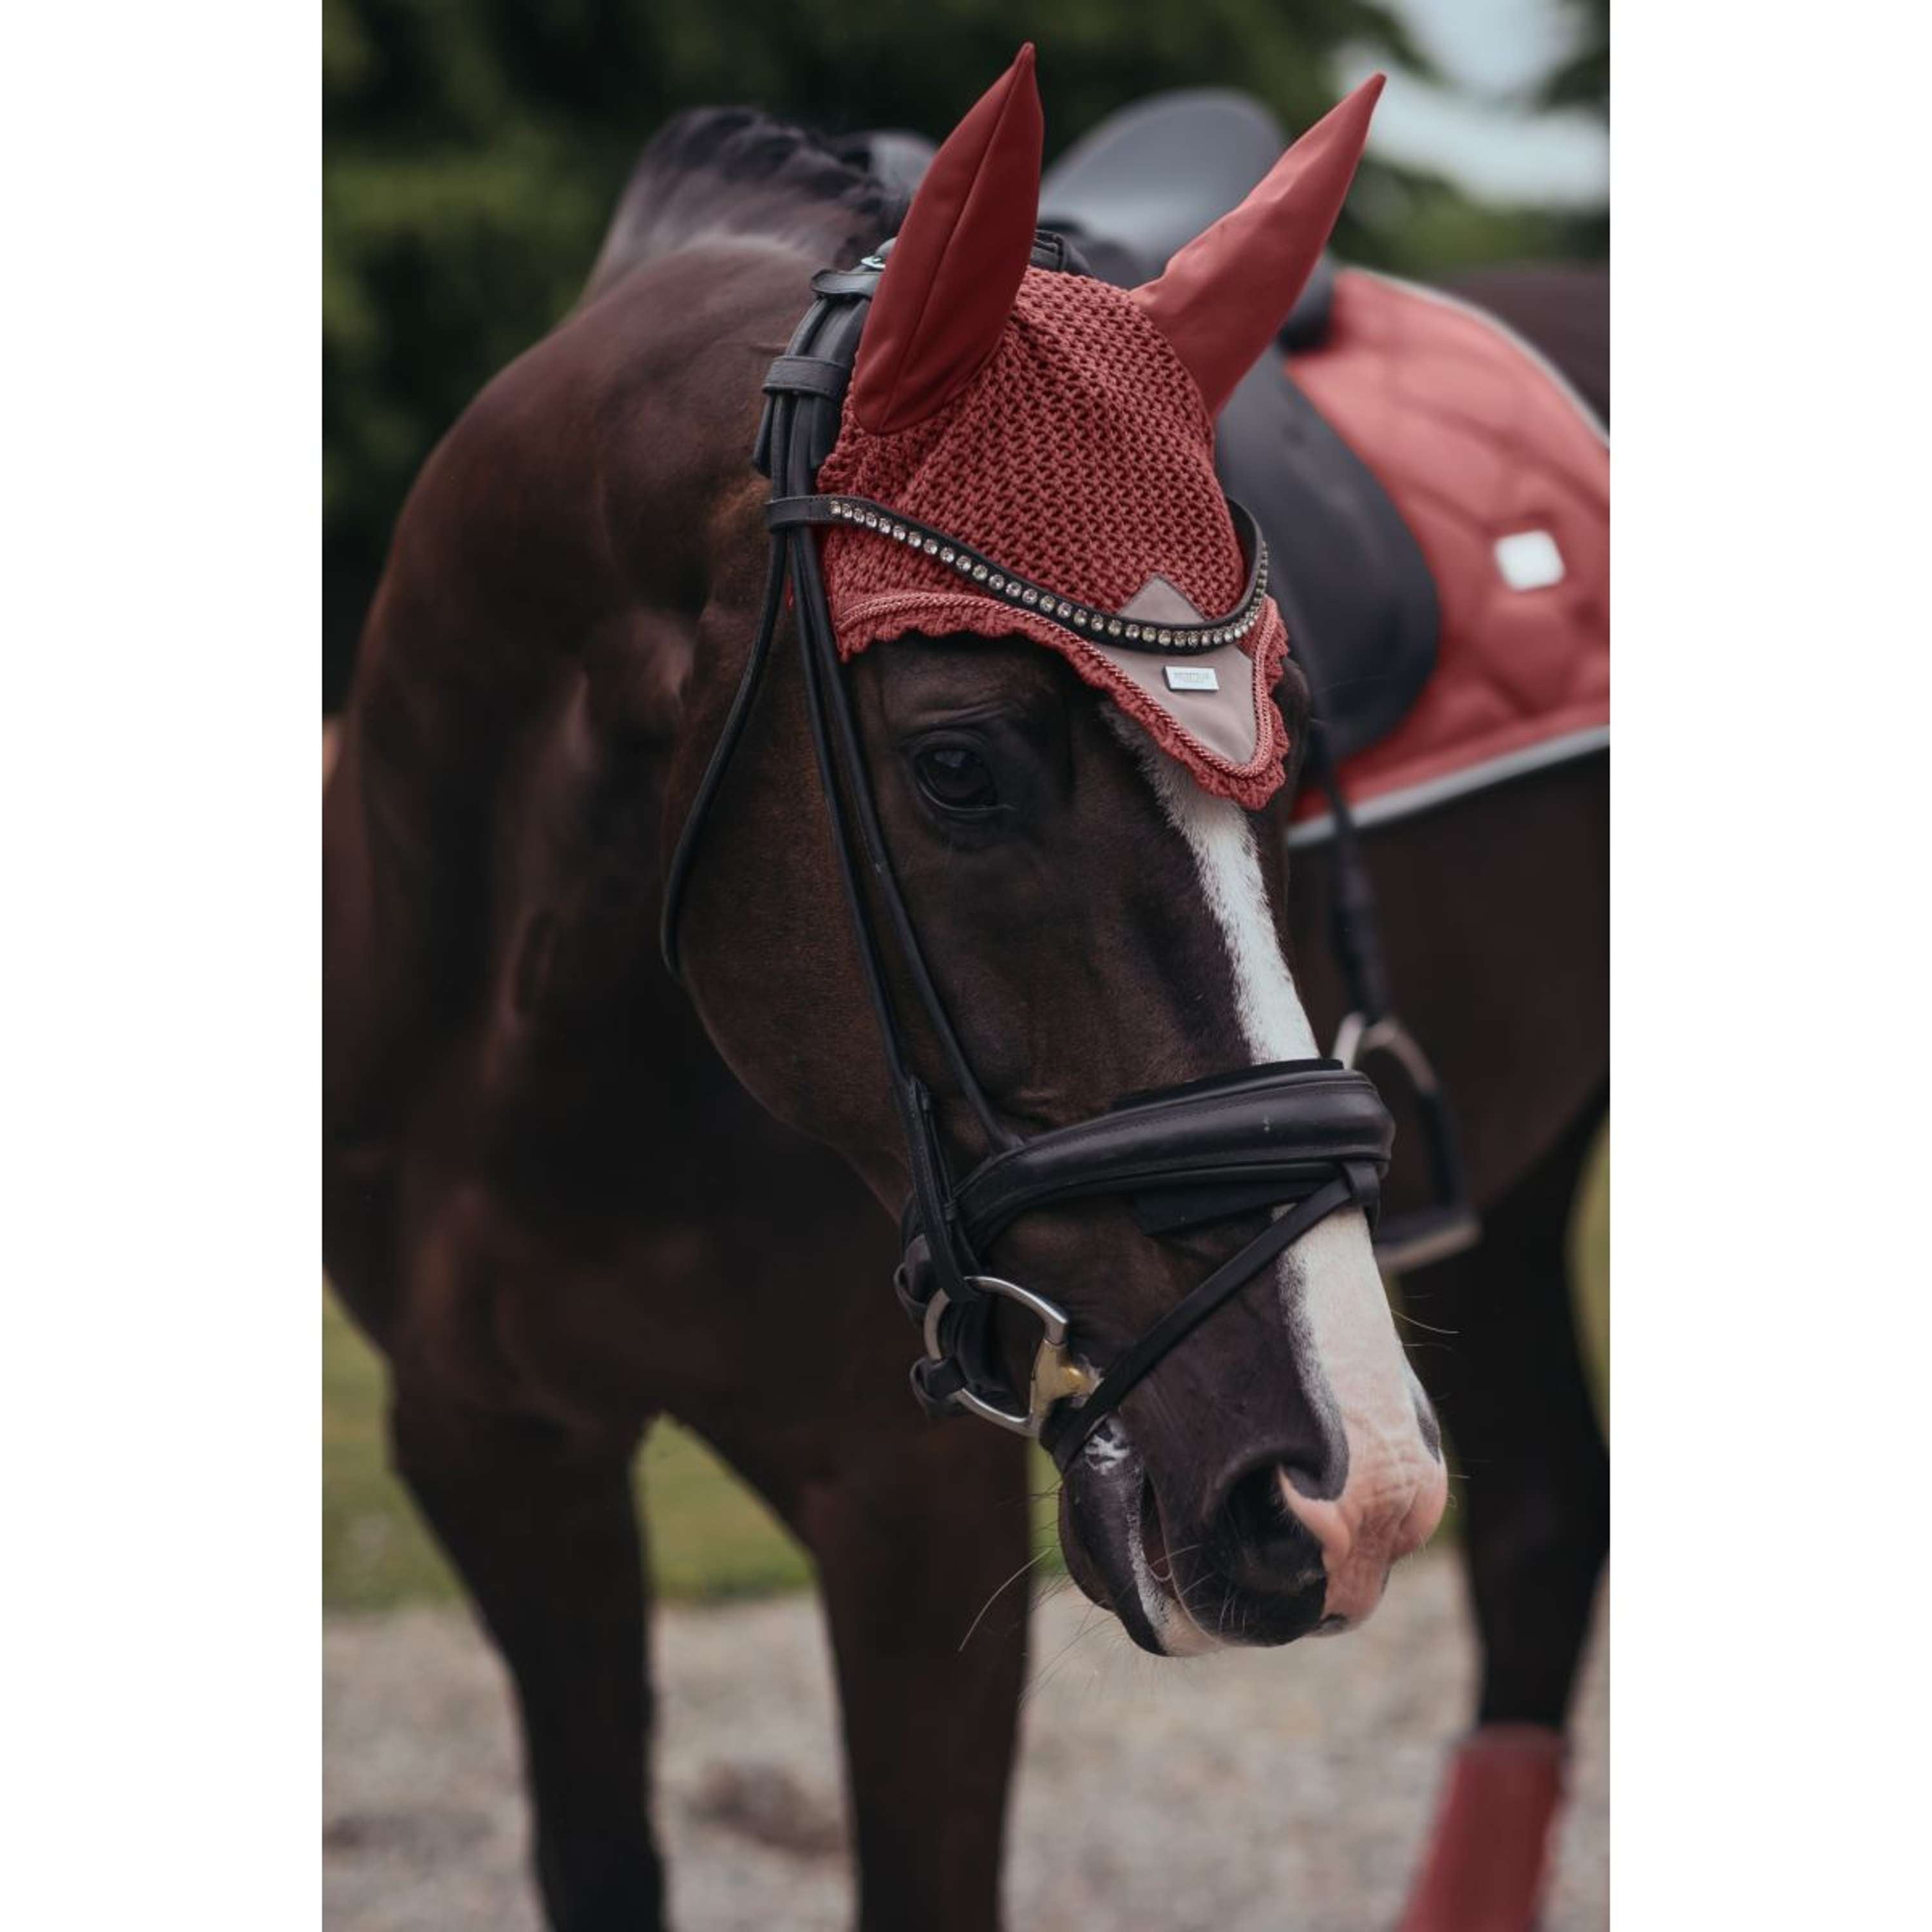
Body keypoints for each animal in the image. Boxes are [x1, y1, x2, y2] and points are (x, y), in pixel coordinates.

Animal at [324, 58, 1606, 1932]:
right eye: (958, 764)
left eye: (1289, 748)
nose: (1343, 1483)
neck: (545, 1052)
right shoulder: (494, 1454)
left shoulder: (908, 1507)